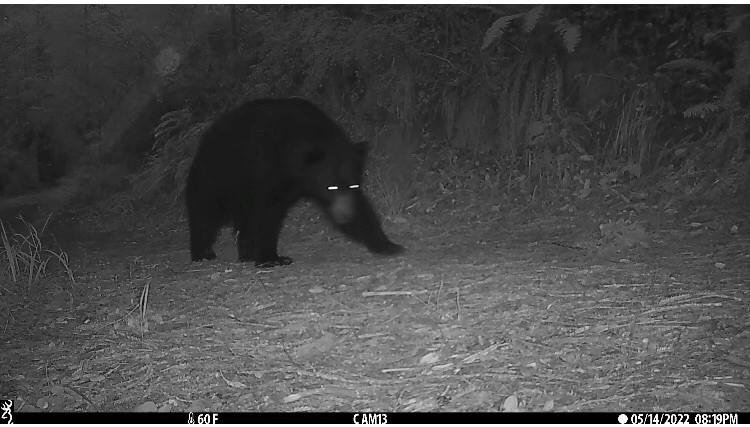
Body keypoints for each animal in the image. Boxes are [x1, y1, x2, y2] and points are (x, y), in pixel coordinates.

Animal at [185, 98, 404, 267]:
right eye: (330, 186)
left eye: (353, 185)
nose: (346, 215)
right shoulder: (266, 167)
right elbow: (266, 213)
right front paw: (271, 258)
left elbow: (362, 206)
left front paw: (388, 245)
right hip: (219, 177)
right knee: (206, 213)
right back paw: (203, 253)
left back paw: (245, 254)